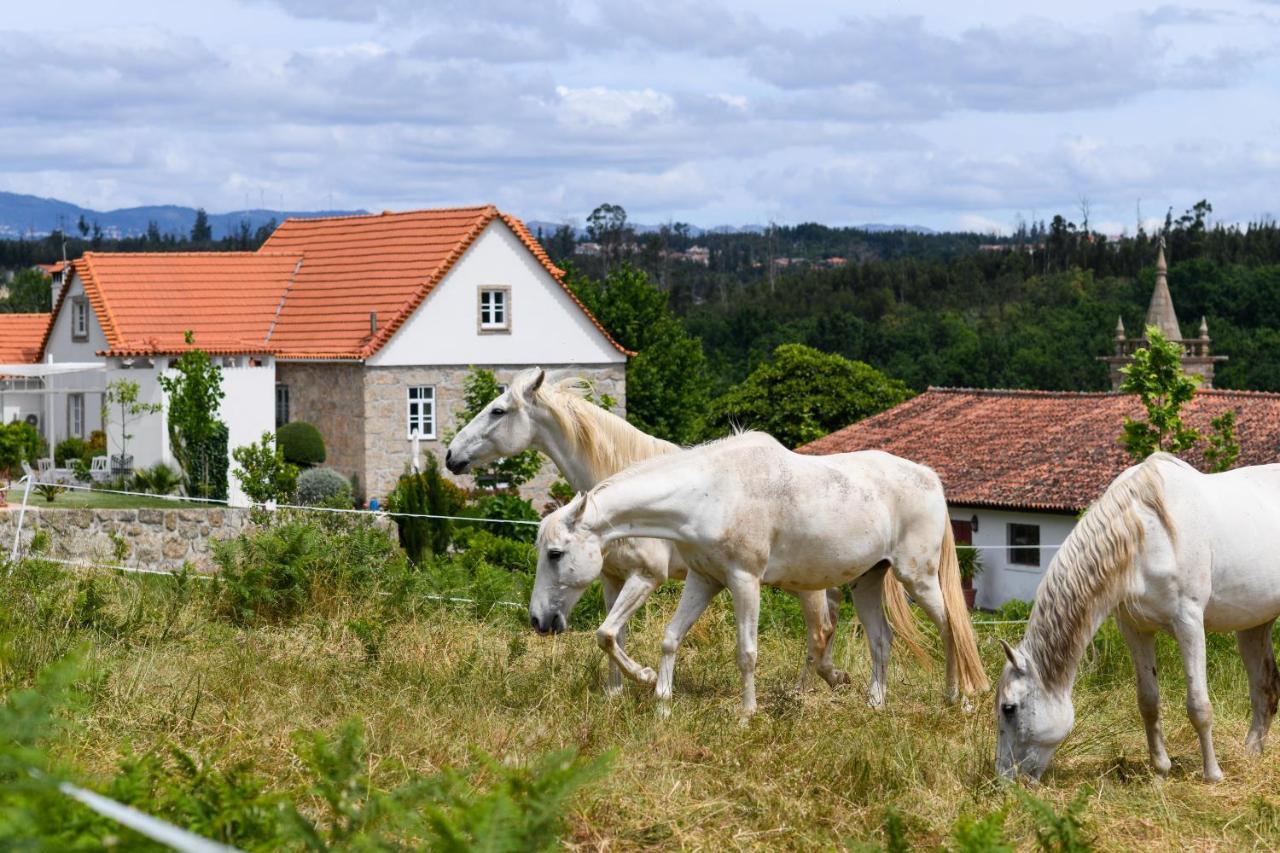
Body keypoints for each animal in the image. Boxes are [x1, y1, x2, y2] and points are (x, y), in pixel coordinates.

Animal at [448, 366, 911, 691]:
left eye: (498, 411)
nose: (452, 456)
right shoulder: (612, 578)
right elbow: (613, 636)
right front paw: (617, 695)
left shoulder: (646, 577)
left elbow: (608, 634)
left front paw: (648, 679)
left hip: (803, 585)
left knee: (819, 633)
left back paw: (802, 694)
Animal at [535, 427, 983, 712]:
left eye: (555, 553)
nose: (539, 620)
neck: (712, 492)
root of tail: (929, 477)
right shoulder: (704, 580)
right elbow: (669, 638)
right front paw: (659, 698)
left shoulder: (743, 581)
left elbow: (747, 652)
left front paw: (746, 714)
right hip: (867, 583)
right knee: (881, 640)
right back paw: (875, 703)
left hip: (918, 578)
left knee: (950, 630)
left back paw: (953, 698)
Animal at [998, 450, 1280, 783]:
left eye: (1009, 708)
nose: (1004, 779)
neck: (1146, 534)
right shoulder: (1134, 628)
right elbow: (1148, 701)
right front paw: (1161, 768)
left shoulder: (1189, 624)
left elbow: (1198, 705)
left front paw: (1212, 774)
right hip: (1255, 625)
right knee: (1264, 688)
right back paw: (1251, 754)